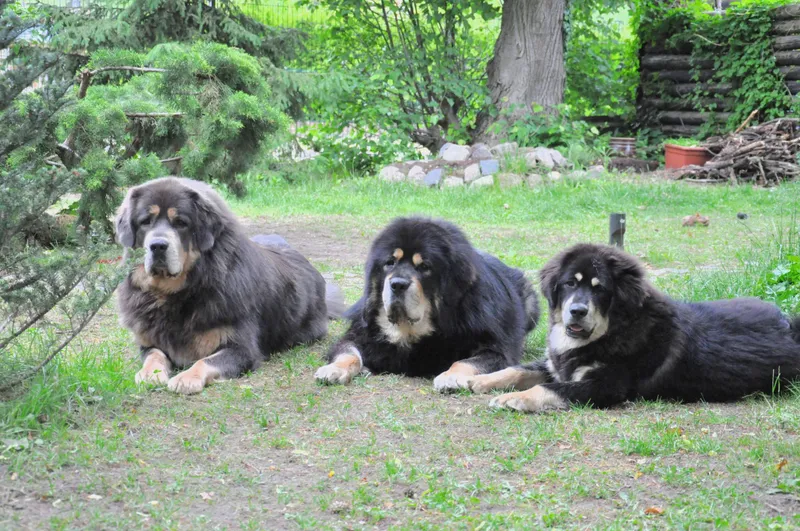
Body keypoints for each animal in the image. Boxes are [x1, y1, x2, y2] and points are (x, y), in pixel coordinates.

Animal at [115, 177, 344, 394]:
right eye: (145, 221)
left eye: (181, 222)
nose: (158, 245)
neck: (178, 293)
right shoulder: (149, 342)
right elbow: (154, 355)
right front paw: (149, 374)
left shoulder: (241, 349)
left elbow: (204, 361)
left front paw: (186, 378)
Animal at [314, 217, 540, 392]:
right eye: (390, 263)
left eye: (424, 267)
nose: (397, 284)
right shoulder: (358, 336)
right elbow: (348, 354)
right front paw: (334, 369)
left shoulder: (496, 351)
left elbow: (465, 361)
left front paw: (450, 376)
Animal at [469, 243, 800, 411]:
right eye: (569, 284)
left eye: (600, 290)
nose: (577, 311)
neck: (614, 331)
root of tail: (789, 326)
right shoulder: (557, 364)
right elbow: (518, 370)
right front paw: (480, 380)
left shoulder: (606, 385)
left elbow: (547, 387)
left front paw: (512, 399)